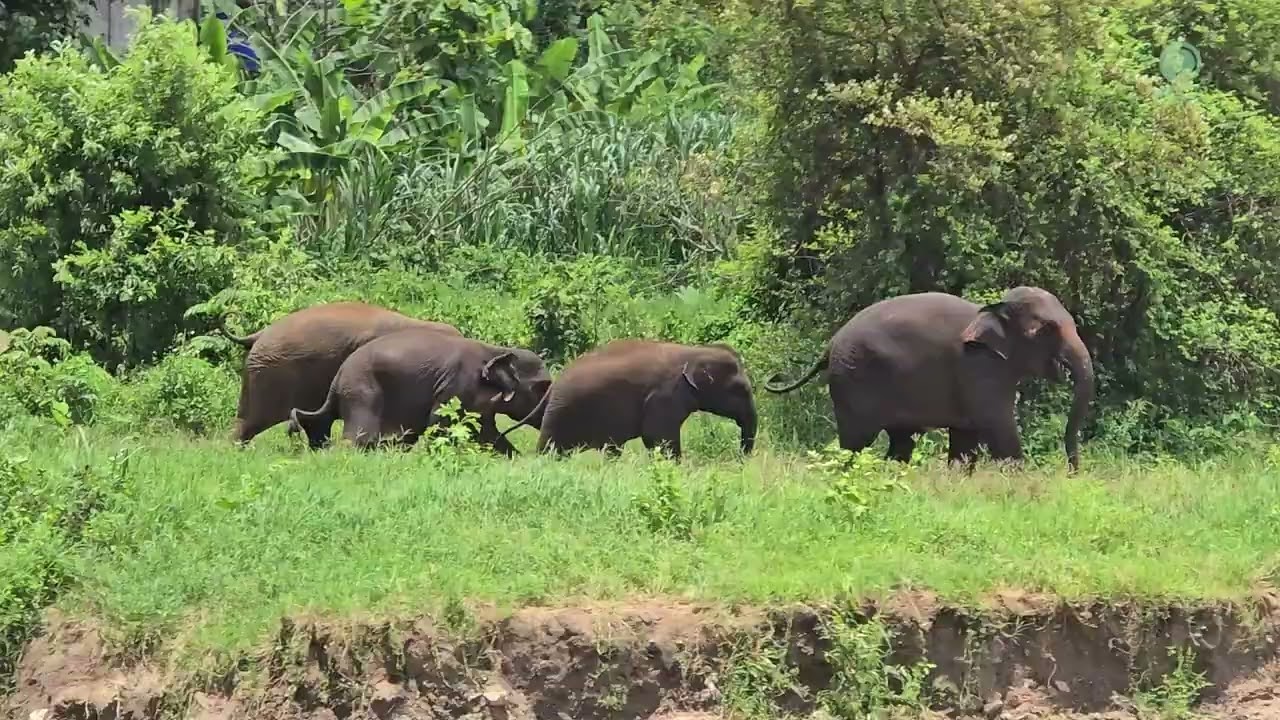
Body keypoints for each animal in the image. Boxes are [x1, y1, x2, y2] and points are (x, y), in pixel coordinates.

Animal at [288, 328, 552, 454]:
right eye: (542, 388)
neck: (495, 349)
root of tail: (338, 376)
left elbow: (486, 432)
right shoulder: (457, 385)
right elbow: (440, 426)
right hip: (361, 391)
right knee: (360, 438)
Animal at [499, 339, 757, 458]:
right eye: (741, 390)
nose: (741, 460)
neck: (694, 351)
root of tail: (554, 385)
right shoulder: (664, 396)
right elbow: (658, 436)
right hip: (562, 413)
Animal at [764, 286, 1094, 470]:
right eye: (1044, 330)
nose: (1072, 474)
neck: (992, 311)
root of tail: (830, 344)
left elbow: (966, 438)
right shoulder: (979, 368)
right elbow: (998, 426)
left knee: (901, 443)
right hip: (853, 379)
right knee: (856, 442)